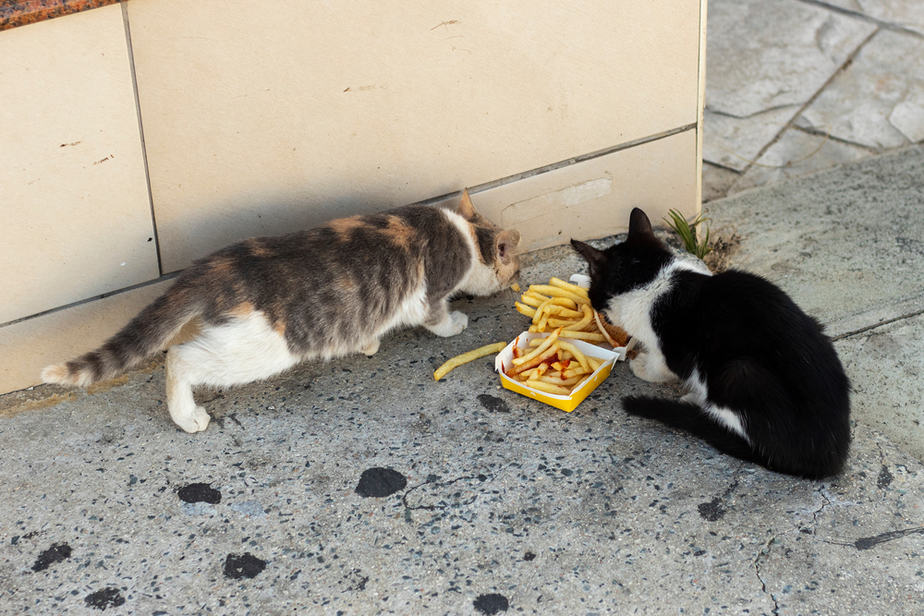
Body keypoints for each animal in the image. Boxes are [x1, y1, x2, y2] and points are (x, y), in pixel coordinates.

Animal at [43, 192, 520, 434]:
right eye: (515, 263)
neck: (464, 233)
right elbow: (436, 317)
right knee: (180, 358)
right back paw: (186, 415)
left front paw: (367, 343)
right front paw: (456, 324)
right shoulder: (430, 293)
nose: (518, 273)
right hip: (259, 347)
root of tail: (212, 267)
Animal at [572, 209, 852, 478]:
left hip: (739, 372)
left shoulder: (675, 350)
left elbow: (661, 366)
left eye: (593, 291)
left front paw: (642, 366)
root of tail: (828, 458)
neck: (652, 282)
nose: (590, 299)